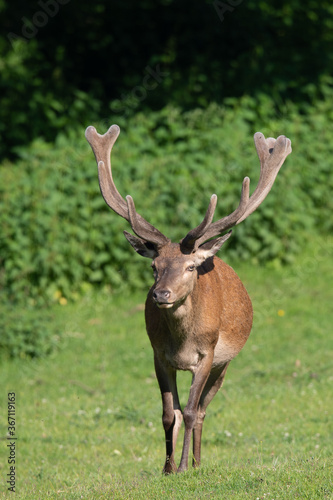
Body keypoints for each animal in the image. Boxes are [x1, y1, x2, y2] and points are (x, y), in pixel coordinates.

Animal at [84, 124, 290, 472]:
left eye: (190, 266)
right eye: (154, 266)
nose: (161, 294)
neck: (181, 341)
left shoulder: (206, 355)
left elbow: (192, 411)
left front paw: (182, 468)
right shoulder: (158, 356)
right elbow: (170, 414)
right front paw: (167, 469)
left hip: (225, 362)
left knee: (203, 410)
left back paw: (196, 463)